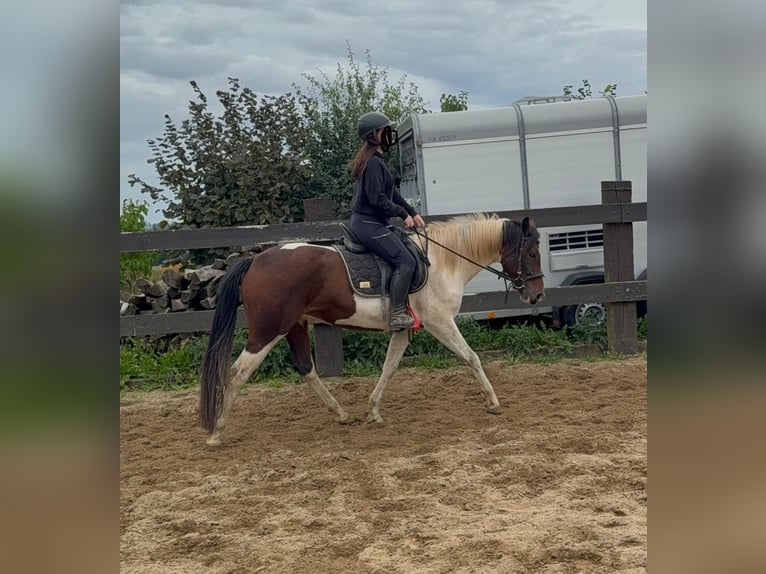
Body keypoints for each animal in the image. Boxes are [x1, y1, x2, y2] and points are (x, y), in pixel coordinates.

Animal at [200, 213, 545, 446]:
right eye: (531, 253)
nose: (537, 295)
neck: (443, 261)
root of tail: (255, 262)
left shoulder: (404, 330)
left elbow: (389, 368)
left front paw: (374, 411)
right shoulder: (440, 322)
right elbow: (471, 357)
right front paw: (493, 402)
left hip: (295, 325)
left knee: (306, 368)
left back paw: (340, 413)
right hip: (268, 330)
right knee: (236, 373)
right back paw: (216, 432)